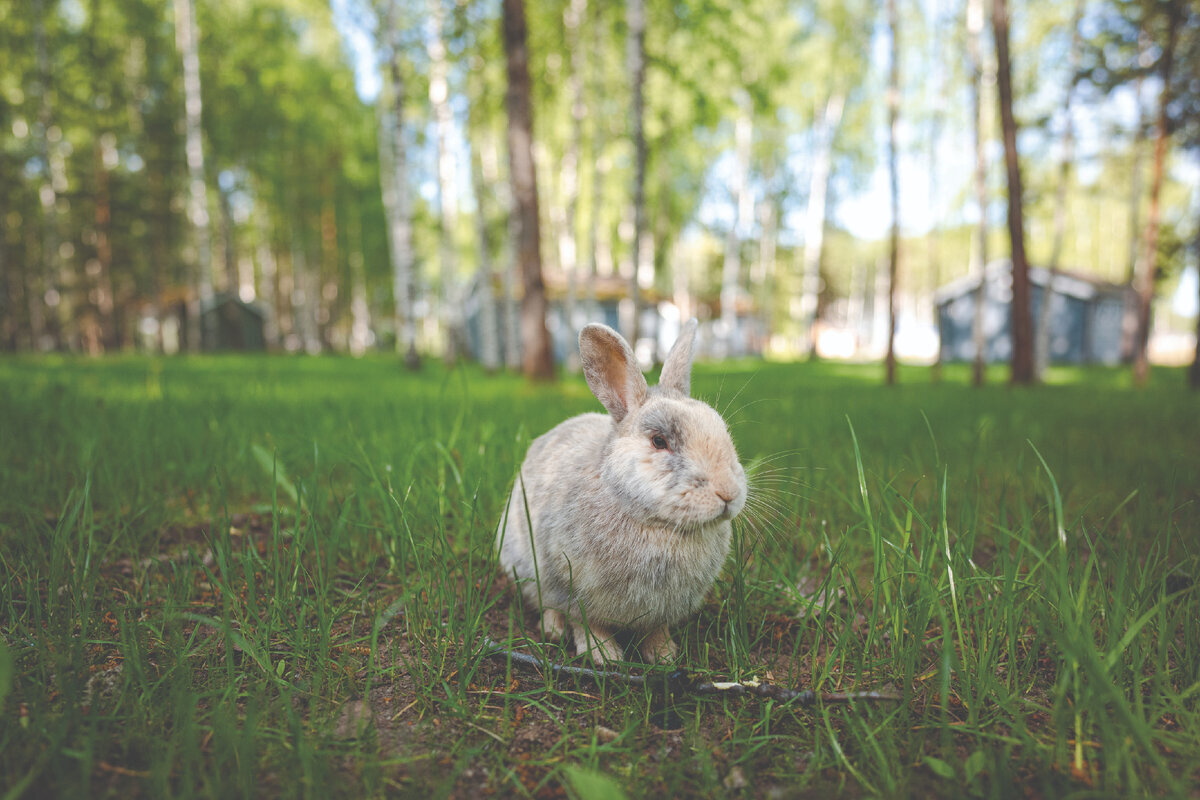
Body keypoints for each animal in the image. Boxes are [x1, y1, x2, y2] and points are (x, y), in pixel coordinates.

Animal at [494, 319, 739, 662]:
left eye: (723, 429)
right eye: (659, 441)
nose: (728, 493)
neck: (655, 524)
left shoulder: (660, 612)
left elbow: (655, 629)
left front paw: (664, 655)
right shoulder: (570, 589)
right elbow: (585, 623)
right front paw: (604, 656)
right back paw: (552, 630)